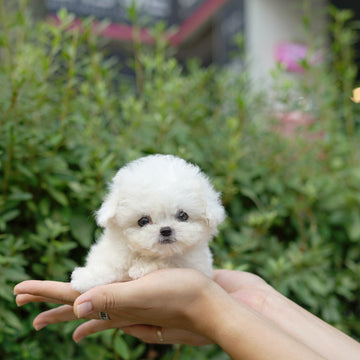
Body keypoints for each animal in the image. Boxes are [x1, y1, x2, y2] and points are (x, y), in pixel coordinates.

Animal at [70, 154, 225, 292]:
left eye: (183, 216)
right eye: (143, 221)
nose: (166, 230)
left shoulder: (194, 264)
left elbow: (166, 263)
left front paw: (141, 268)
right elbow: (107, 265)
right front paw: (85, 279)